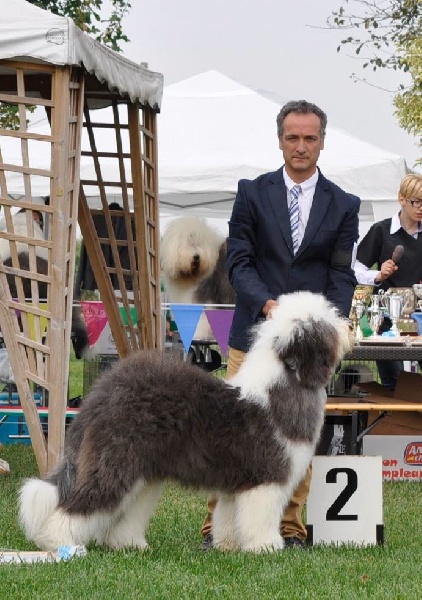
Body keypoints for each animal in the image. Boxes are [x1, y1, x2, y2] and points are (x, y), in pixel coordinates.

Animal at [19, 291, 352, 553]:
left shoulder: (237, 482)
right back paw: (59, 543)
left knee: (126, 513)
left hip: (143, 473)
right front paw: (266, 547)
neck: (282, 385)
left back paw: (129, 544)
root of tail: (103, 391)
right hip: (116, 460)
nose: (348, 326)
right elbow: (261, 517)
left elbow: (228, 518)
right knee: (85, 503)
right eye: (326, 323)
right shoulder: (267, 478)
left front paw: (227, 547)